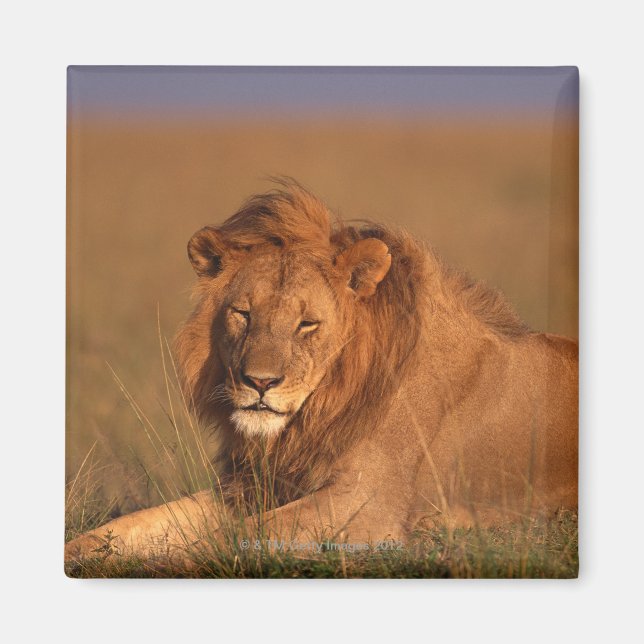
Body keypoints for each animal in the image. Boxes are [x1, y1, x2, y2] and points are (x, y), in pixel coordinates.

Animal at [65, 180, 578, 564]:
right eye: (243, 314)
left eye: (306, 324)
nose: (260, 383)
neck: (321, 410)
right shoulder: (251, 487)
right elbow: (134, 525)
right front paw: (79, 552)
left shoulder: (369, 507)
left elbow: (229, 538)